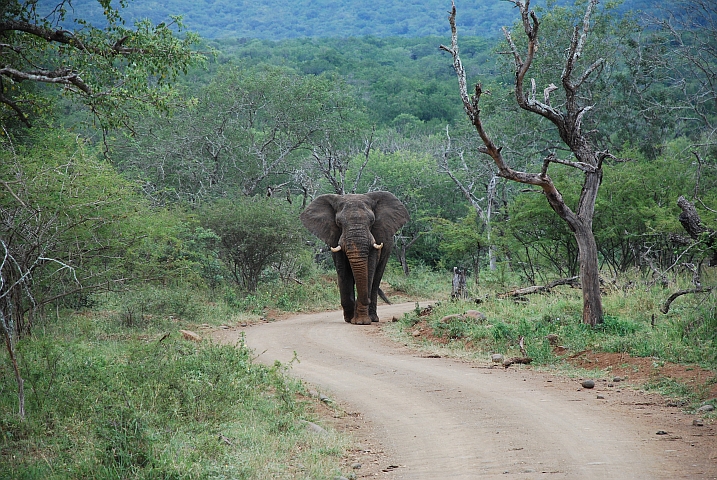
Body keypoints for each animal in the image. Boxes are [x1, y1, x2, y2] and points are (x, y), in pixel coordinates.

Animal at [298, 193, 408, 324]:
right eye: (338, 222)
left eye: (372, 221)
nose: (365, 300)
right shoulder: (335, 238)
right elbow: (343, 271)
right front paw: (350, 319)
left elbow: (369, 271)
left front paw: (361, 322)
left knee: (376, 280)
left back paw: (373, 318)